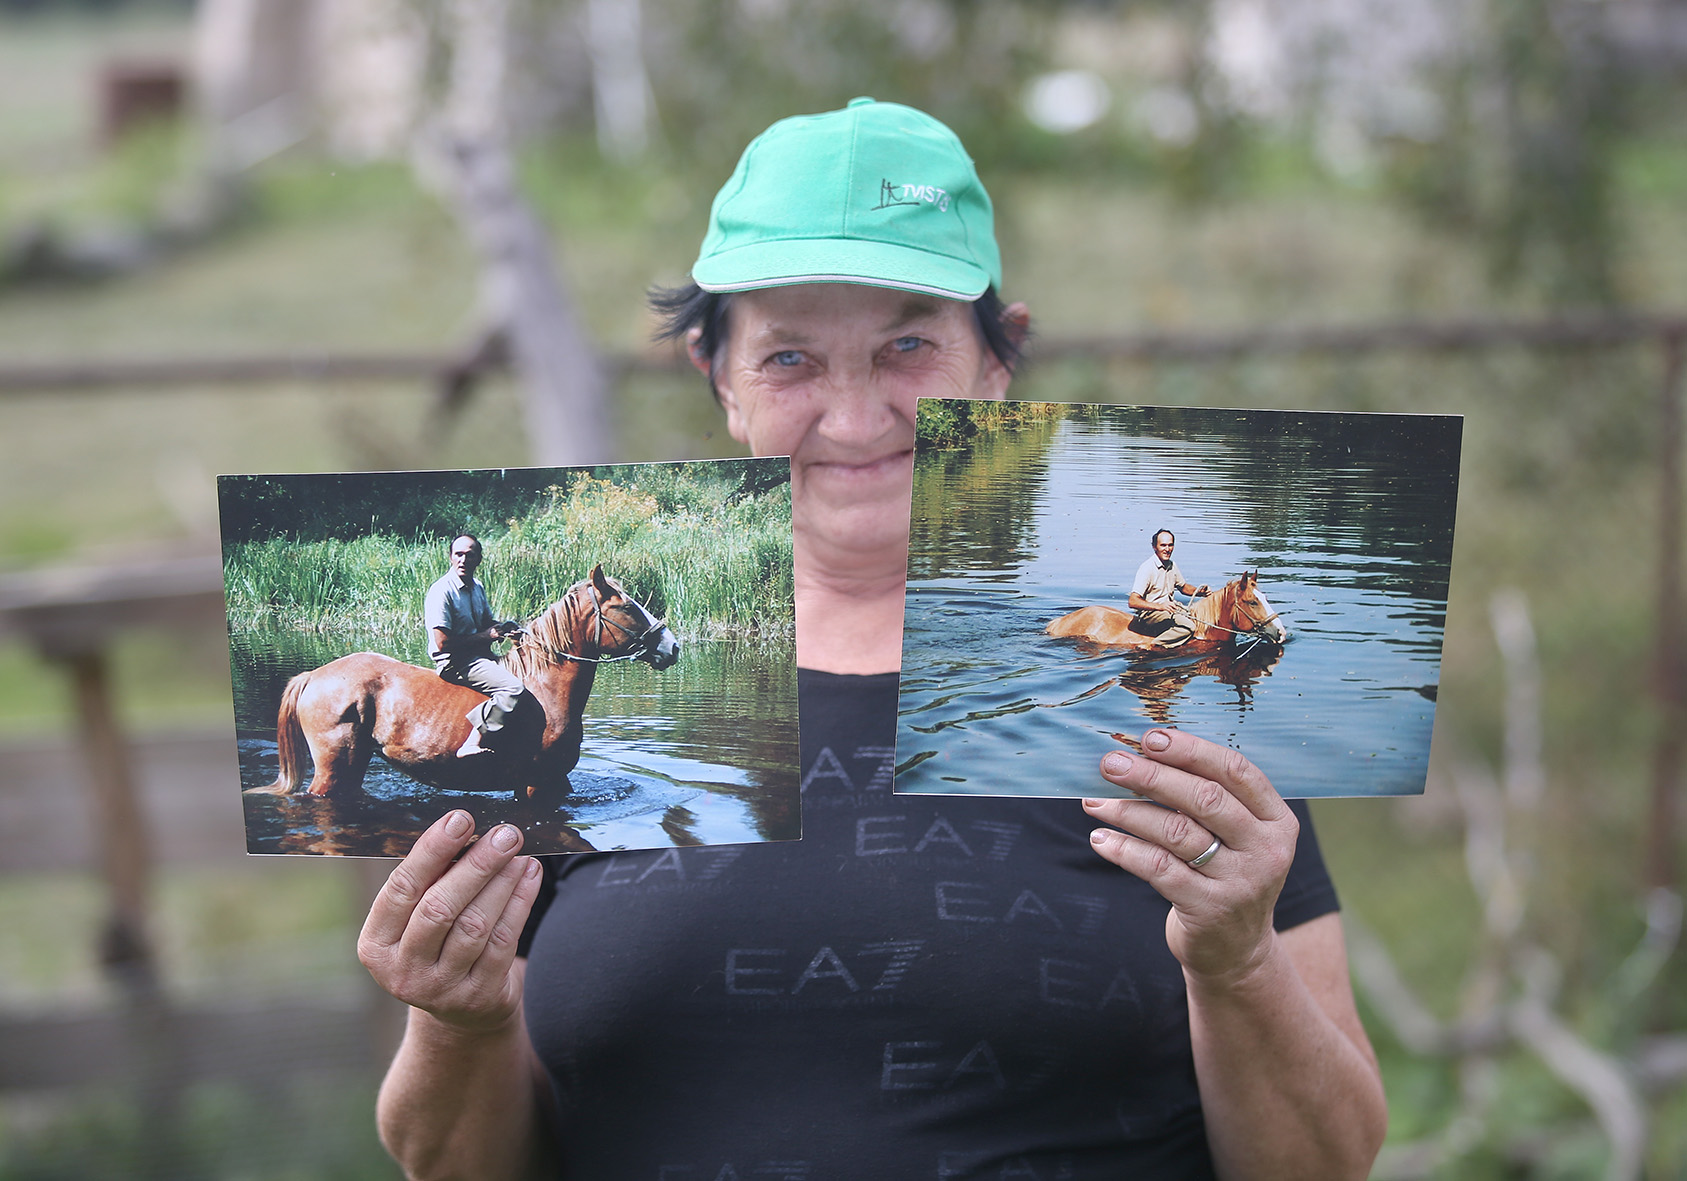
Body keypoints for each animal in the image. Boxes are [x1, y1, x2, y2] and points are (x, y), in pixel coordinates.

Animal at [253, 563, 674, 803]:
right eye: (627, 606)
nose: (672, 646)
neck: (547, 688)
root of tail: (313, 676)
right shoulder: (538, 783)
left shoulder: (554, 780)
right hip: (332, 767)